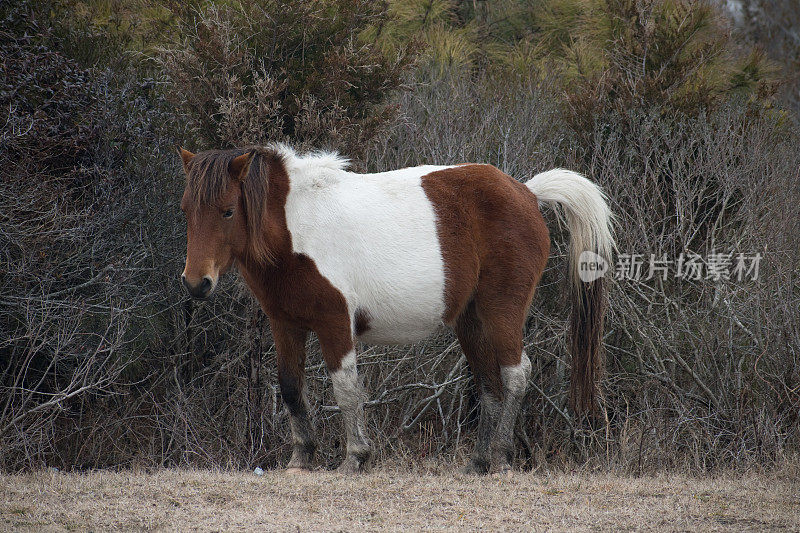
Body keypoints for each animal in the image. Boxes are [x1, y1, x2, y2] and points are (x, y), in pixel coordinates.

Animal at [180, 143, 612, 472]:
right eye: (186, 210)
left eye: (228, 210)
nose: (196, 283)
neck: (294, 226)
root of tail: (526, 192)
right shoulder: (285, 324)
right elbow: (290, 387)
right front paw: (300, 461)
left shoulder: (335, 324)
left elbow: (346, 390)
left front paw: (355, 458)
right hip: (470, 321)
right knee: (489, 382)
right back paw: (477, 463)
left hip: (501, 310)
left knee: (516, 373)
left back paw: (502, 457)